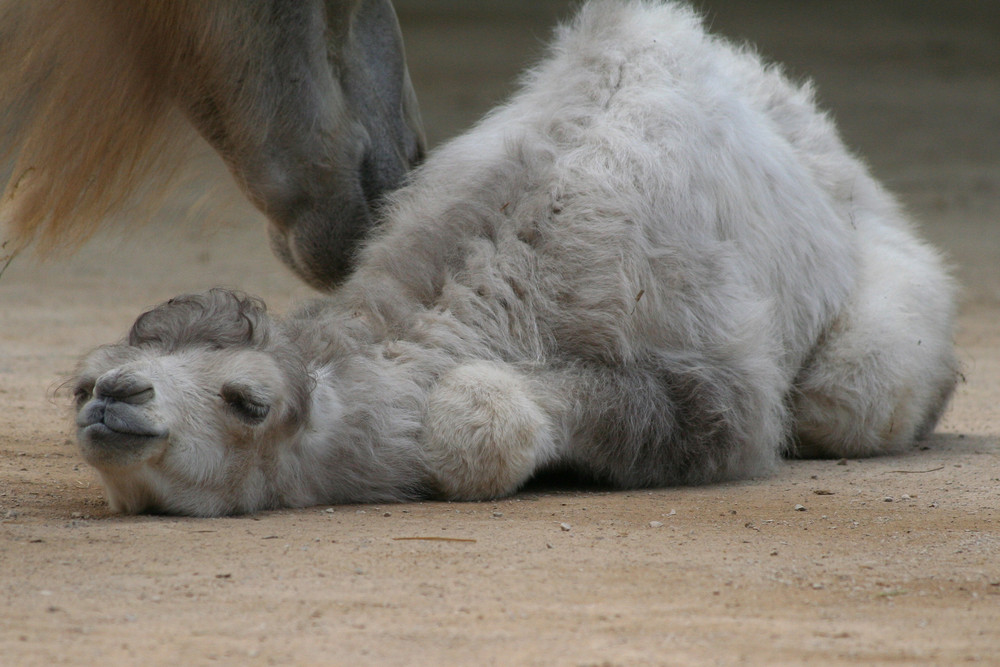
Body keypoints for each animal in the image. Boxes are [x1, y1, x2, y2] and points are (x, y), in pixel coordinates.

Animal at [74, 0, 956, 516]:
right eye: (83, 379)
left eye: (247, 400)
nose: (115, 395)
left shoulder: (716, 388)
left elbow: (476, 422)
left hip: (878, 254)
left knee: (850, 397)